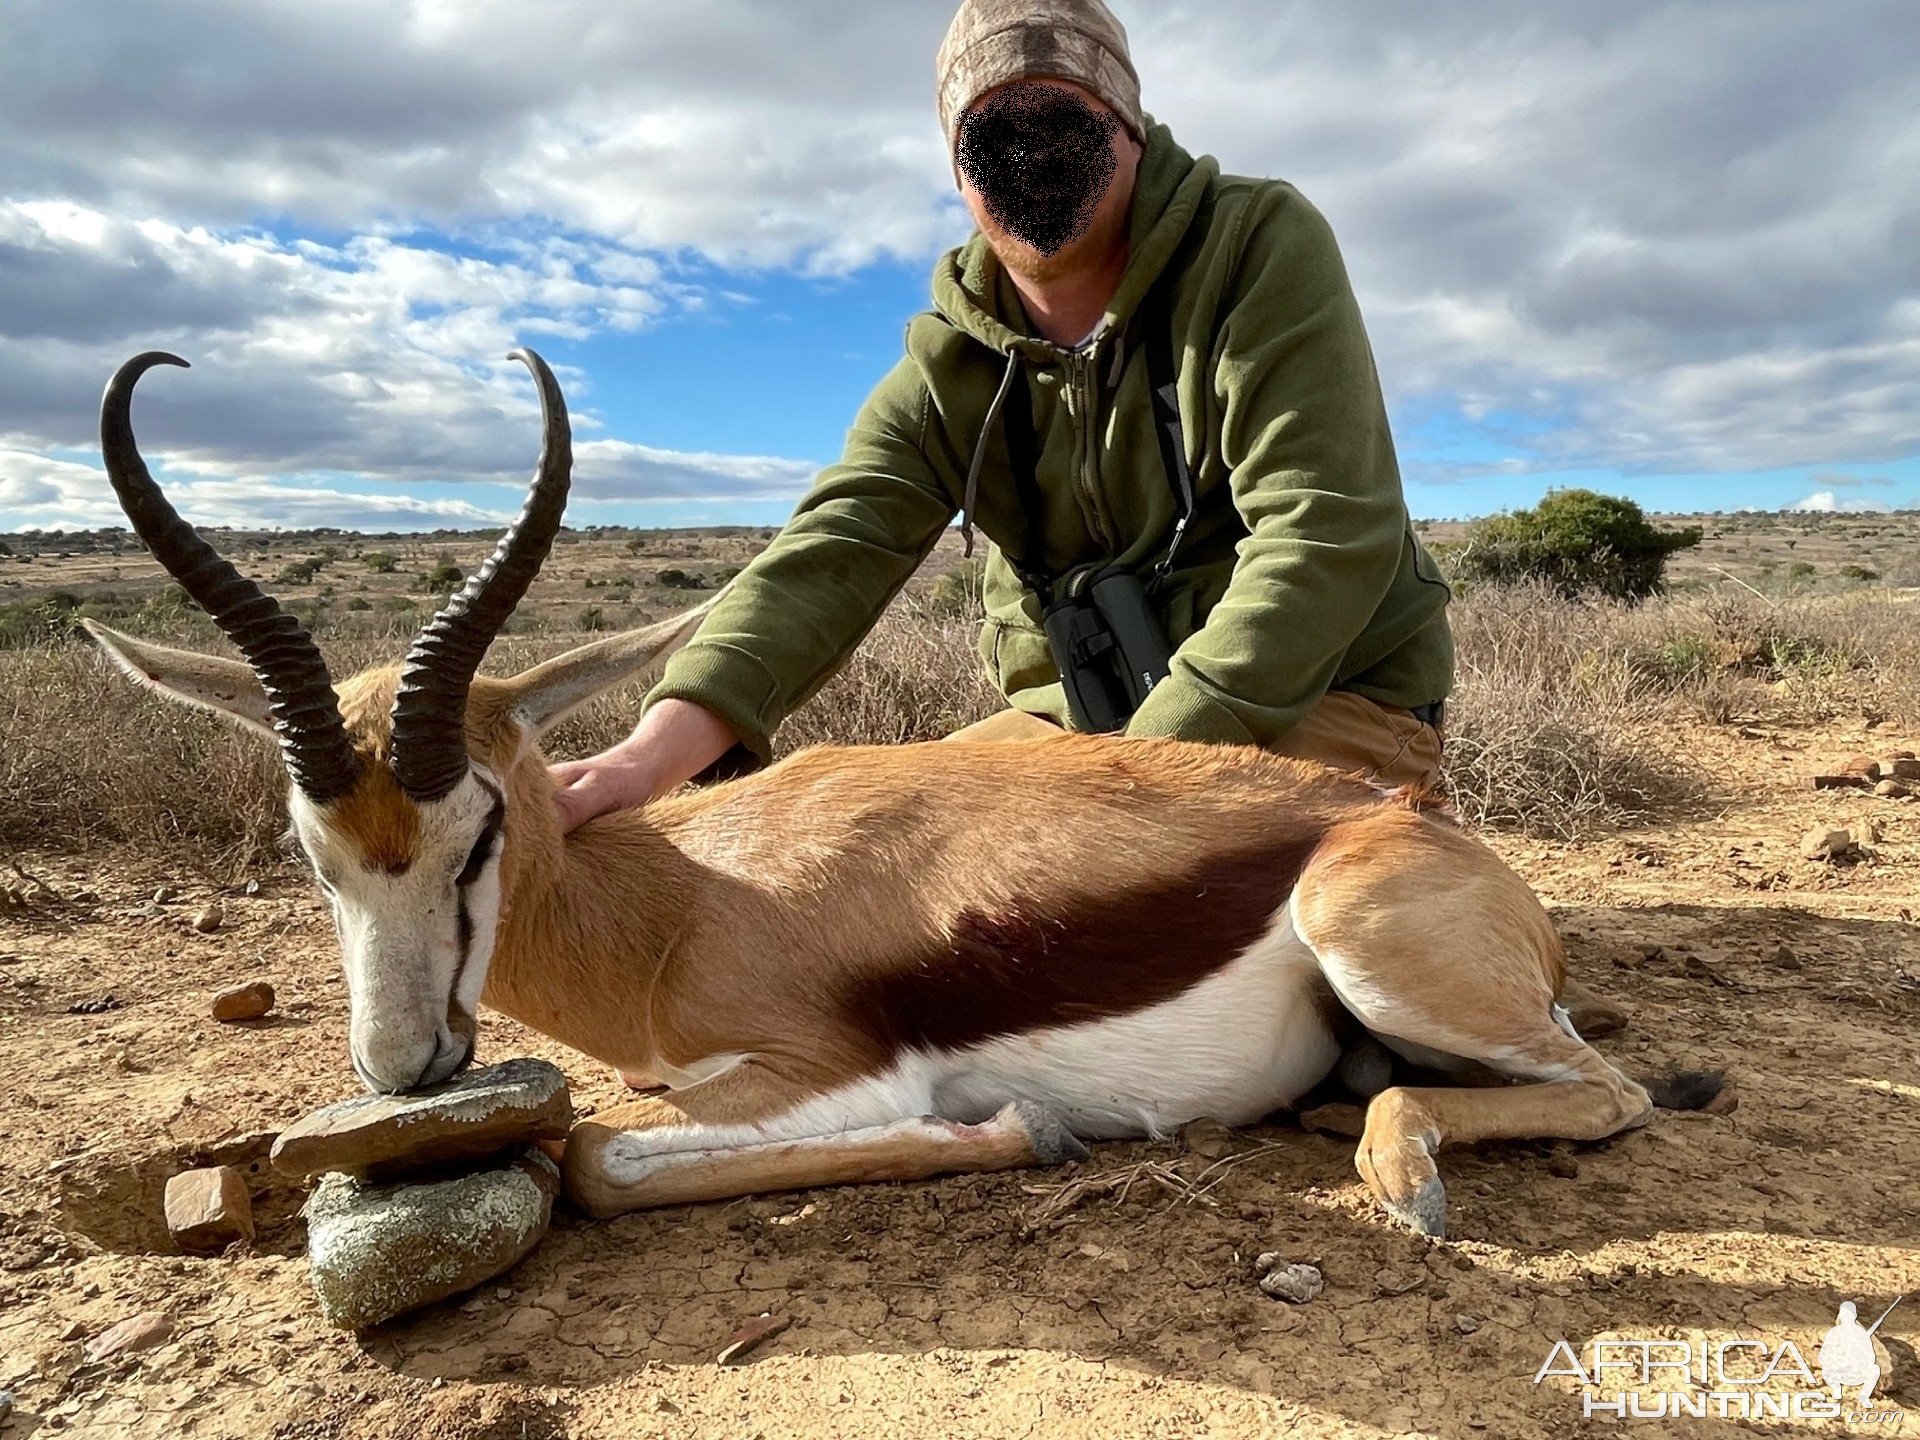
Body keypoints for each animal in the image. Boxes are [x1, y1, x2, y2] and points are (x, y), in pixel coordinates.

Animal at [90, 349, 1720, 1244]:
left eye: (477, 824)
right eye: (312, 855)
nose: (406, 1066)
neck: (675, 904)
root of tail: (1418, 825)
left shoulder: (828, 1072)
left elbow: (599, 1156)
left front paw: (1019, 1135)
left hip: (1377, 949)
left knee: (1614, 1091)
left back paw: (1399, 1172)